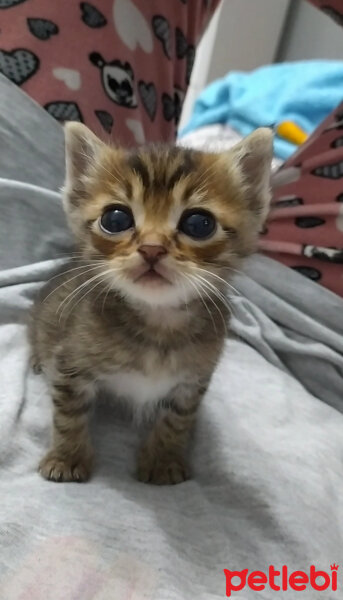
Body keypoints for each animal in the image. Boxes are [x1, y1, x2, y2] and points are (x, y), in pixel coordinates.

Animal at [31, 122, 274, 482]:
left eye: (199, 224)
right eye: (115, 219)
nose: (152, 248)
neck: (159, 324)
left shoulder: (193, 380)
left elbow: (177, 420)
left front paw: (162, 459)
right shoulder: (69, 364)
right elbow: (68, 415)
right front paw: (67, 458)